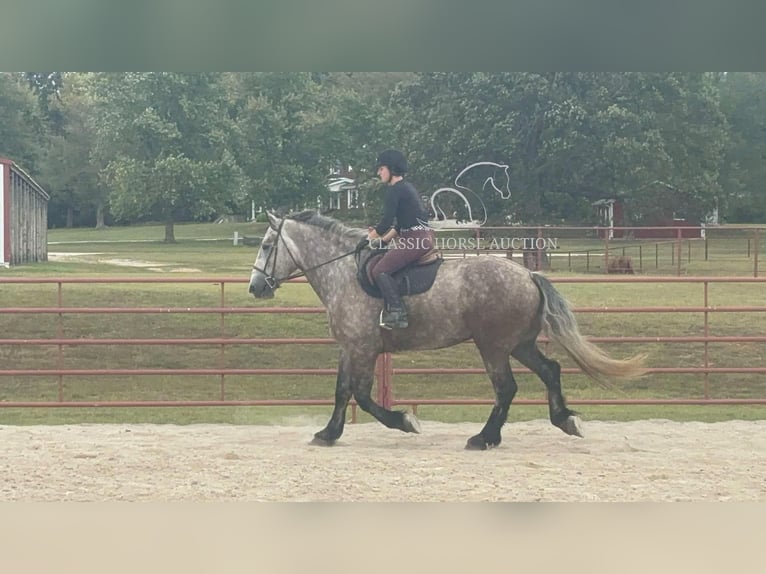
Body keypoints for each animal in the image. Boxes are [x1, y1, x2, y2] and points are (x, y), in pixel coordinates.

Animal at [249, 210, 644, 450]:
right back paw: (564, 420)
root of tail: (528, 274)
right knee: (550, 370)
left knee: (506, 388)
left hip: (493, 346)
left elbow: (358, 394)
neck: (343, 273)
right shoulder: (350, 348)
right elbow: (341, 392)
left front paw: (405, 421)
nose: (255, 287)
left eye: (267, 245)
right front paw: (328, 433)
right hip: (519, 344)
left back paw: (484, 438)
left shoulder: (362, 348)